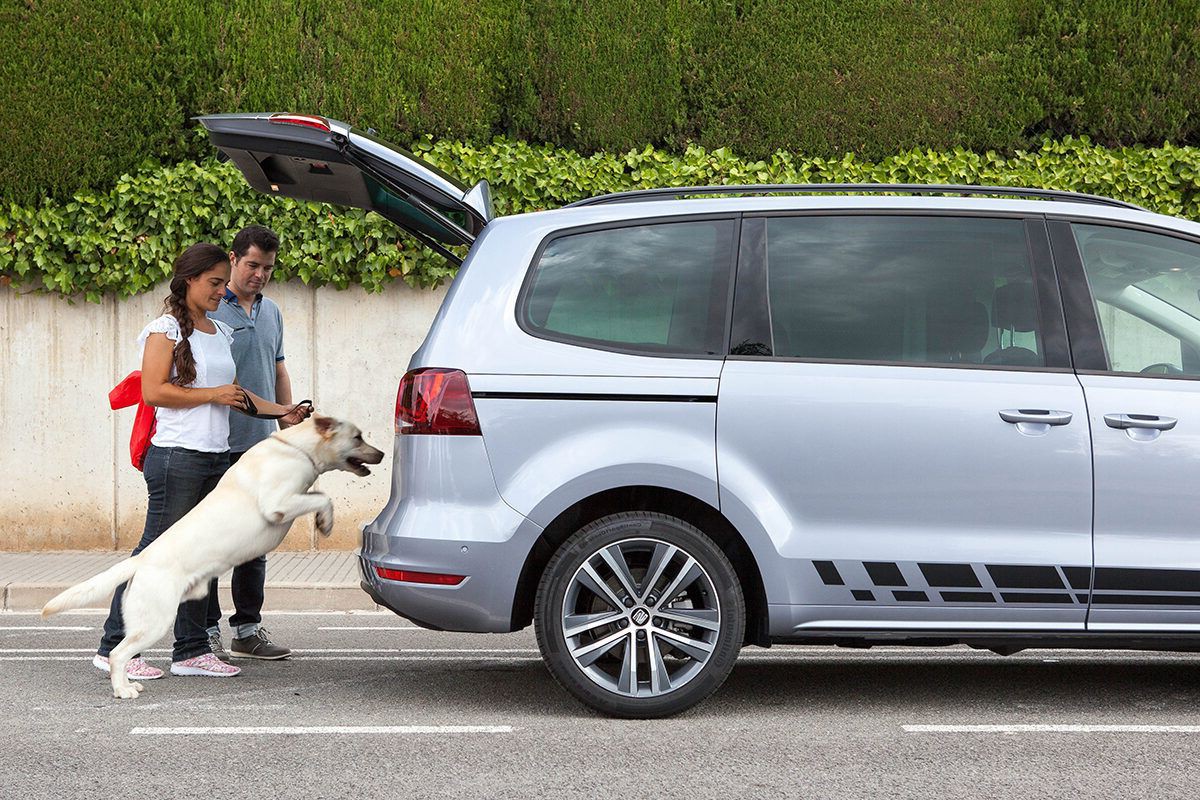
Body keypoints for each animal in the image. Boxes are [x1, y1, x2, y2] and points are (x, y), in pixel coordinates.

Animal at [43, 417, 379, 695]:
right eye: (358, 437)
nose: (382, 454)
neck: (296, 449)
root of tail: (140, 560)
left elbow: (318, 495)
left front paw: (324, 521)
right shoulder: (278, 504)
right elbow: (323, 497)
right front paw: (326, 521)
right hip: (155, 620)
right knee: (117, 654)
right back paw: (123, 690)